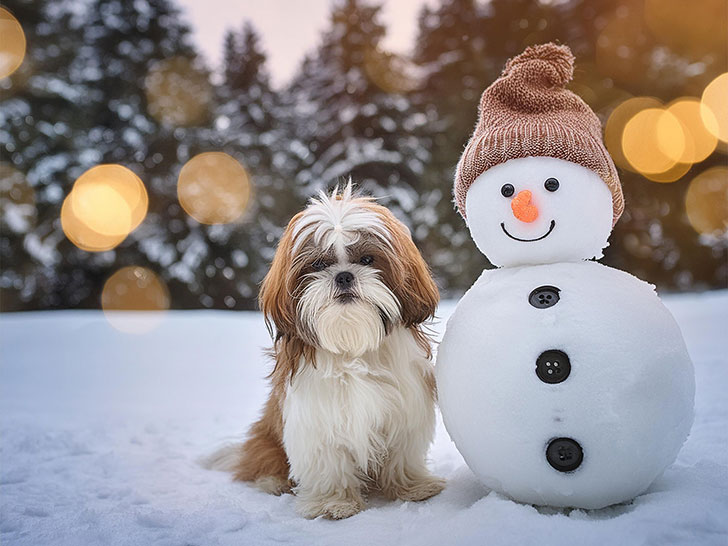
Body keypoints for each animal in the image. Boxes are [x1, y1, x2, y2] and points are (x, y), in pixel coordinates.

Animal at [205, 183, 444, 520]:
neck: (351, 341)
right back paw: (270, 481)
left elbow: (402, 453)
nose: (343, 275)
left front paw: (411, 487)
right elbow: (328, 461)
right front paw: (334, 502)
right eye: (318, 264)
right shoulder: (318, 418)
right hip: (265, 440)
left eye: (367, 259)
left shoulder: (405, 410)